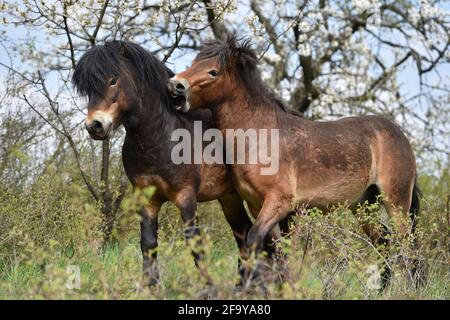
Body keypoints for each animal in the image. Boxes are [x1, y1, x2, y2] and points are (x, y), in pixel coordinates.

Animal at [169, 35, 422, 288]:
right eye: (194, 63)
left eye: (213, 72)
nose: (175, 85)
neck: (261, 135)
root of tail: (400, 135)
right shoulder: (258, 206)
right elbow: (279, 252)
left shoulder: (278, 203)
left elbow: (255, 242)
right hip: (363, 207)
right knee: (384, 243)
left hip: (396, 202)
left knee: (406, 246)